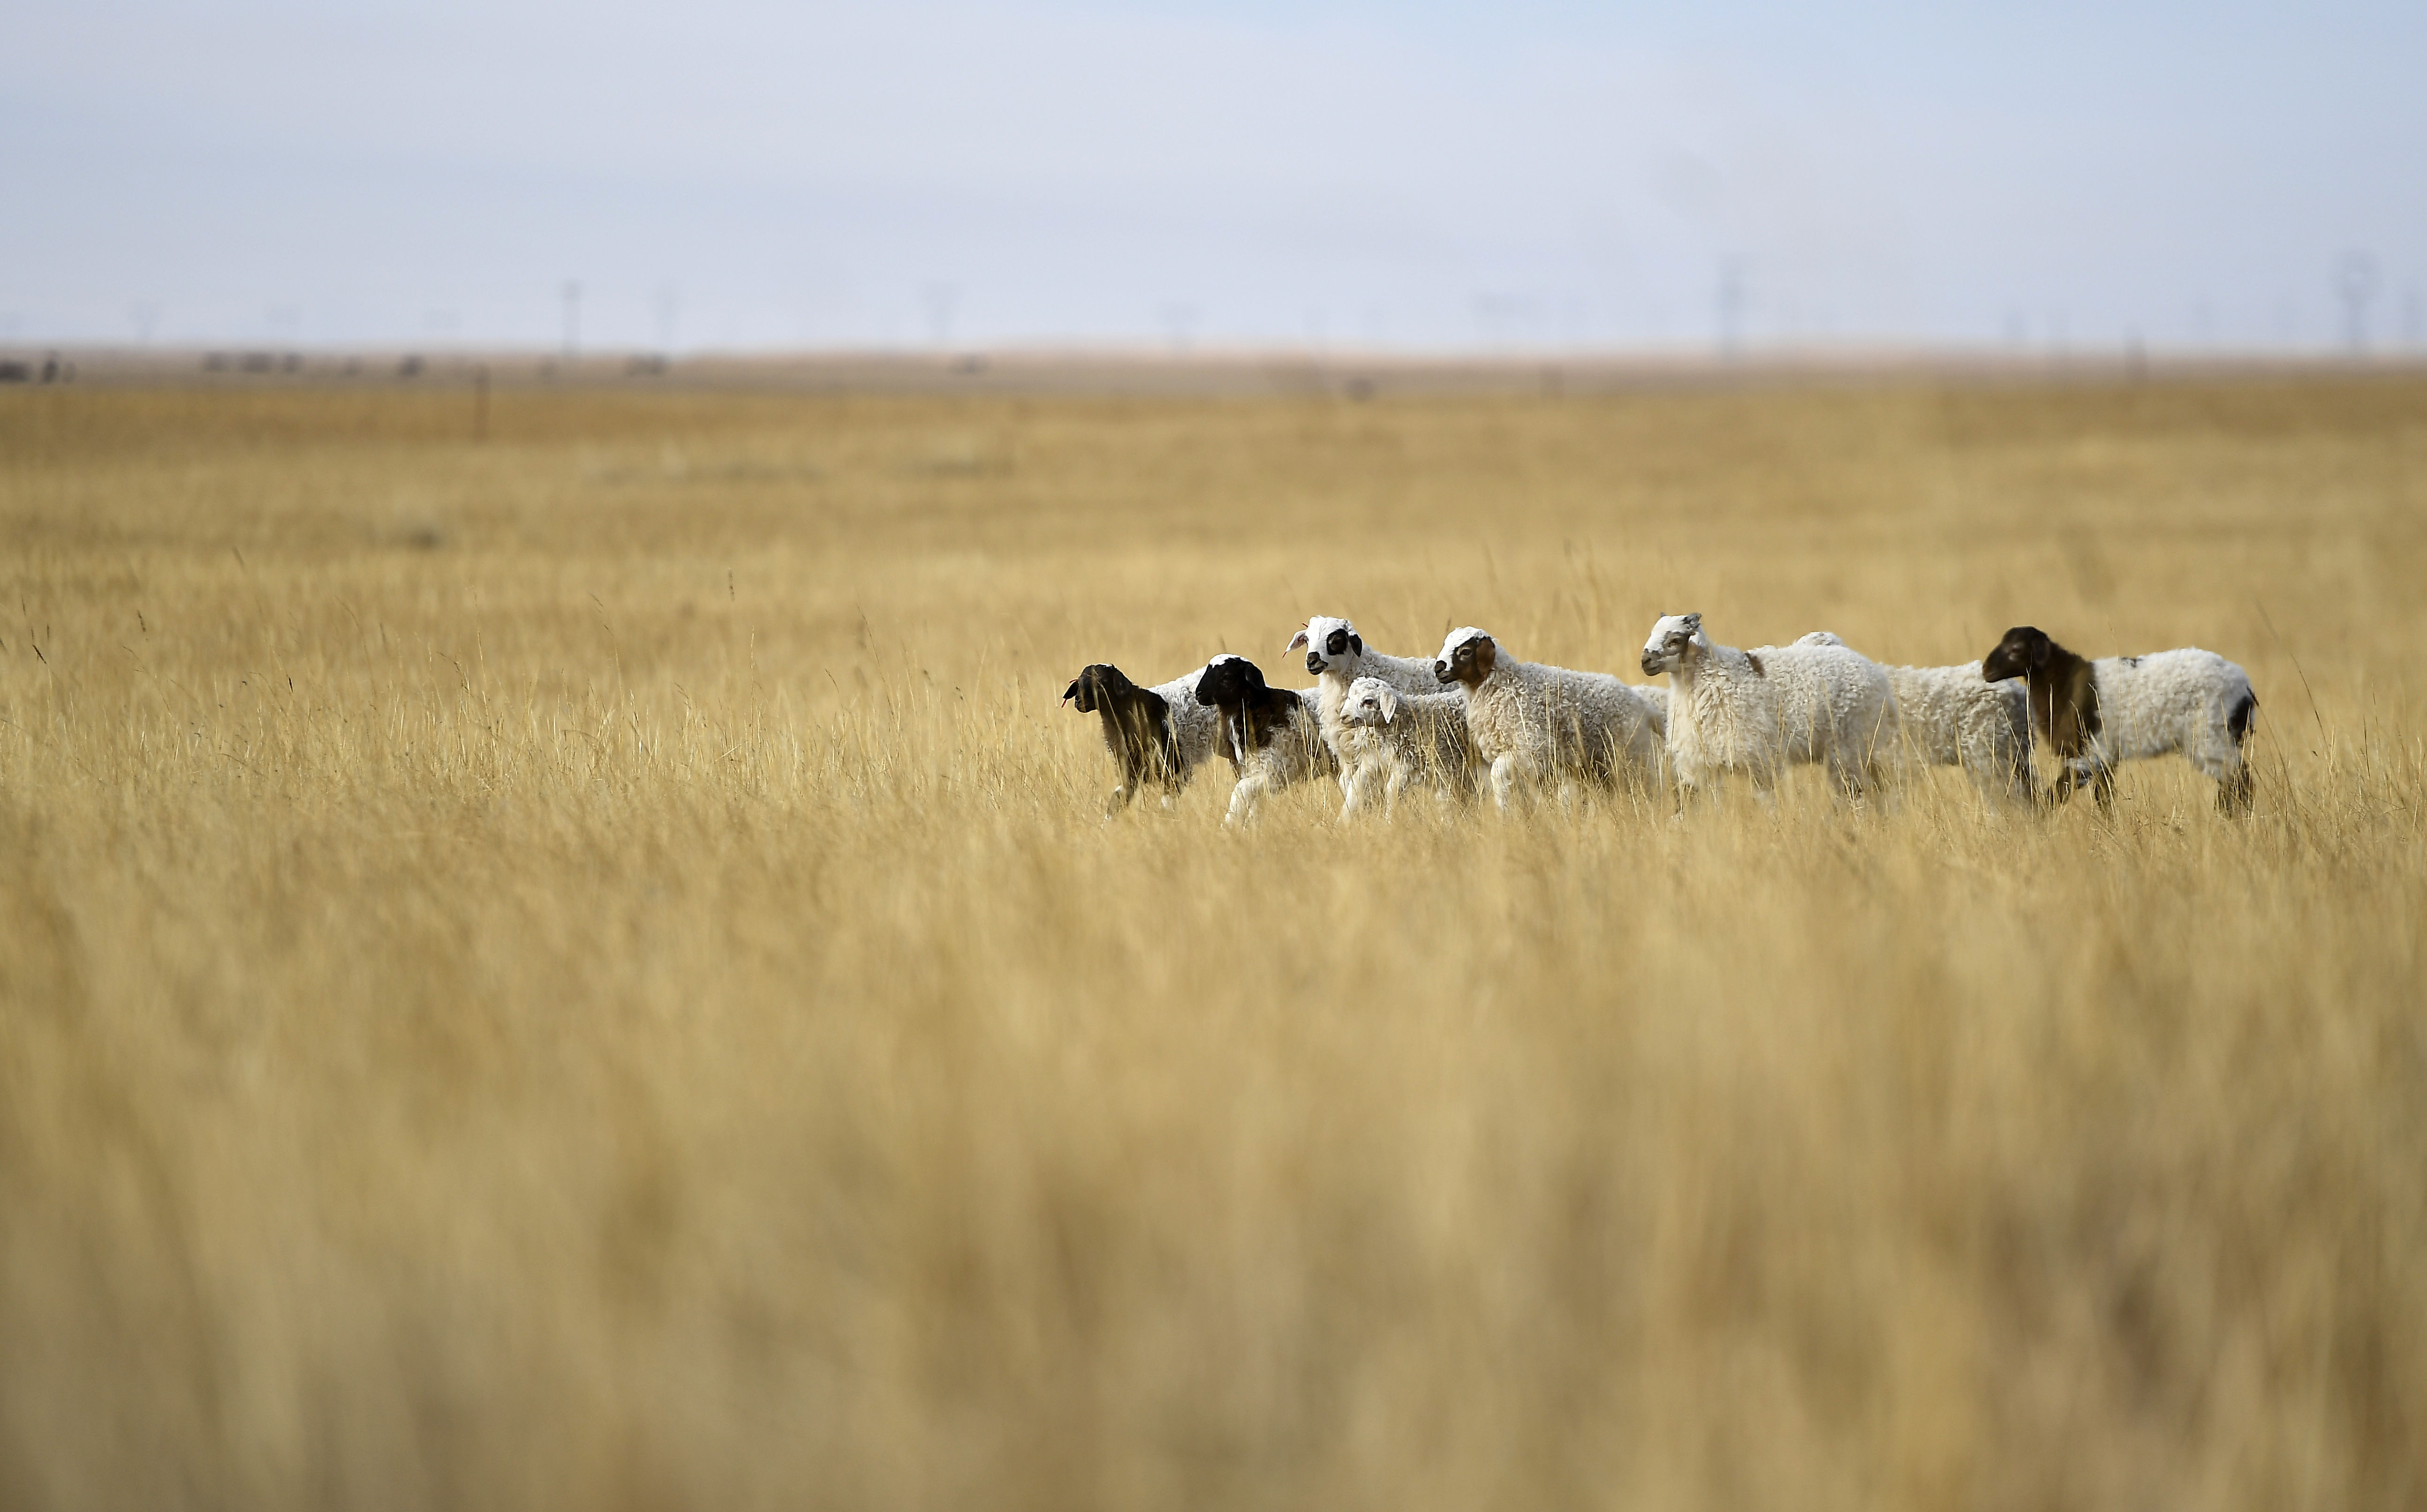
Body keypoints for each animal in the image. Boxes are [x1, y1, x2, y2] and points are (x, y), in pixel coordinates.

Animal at [1199, 655, 1349, 830]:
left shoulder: (1274, 773)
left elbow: (1241, 791)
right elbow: (1254, 807)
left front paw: (1229, 825)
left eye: (1227, 677)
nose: (1198, 693)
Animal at [1330, 674, 1475, 815]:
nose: (1344, 717)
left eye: (1368, 701)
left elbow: (1392, 790)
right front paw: (1343, 820)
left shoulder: (1411, 766)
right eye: (1350, 697)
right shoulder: (1373, 762)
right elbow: (1356, 786)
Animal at [1427, 626, 1660, 815]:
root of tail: (1642, 705)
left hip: (1632, 760)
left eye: (1466, 651)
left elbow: (1498, 774)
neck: (1506, 686)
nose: (1438, 669)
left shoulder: (1533, 749)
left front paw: (1504, 813)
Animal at [1641, 612, 1903, 810]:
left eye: (1675, 640)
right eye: (1652, 633)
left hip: (1850, 747)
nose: (1645, 661)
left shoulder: (1760, 761)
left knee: (1858, 791)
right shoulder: (1699, 764)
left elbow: (1766, 803)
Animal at [1990, 626, 2252, 815]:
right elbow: (2104, 800)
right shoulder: (2103, 760)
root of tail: (2245, 687)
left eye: (2016, 649)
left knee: (2240, 783)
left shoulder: (2090, 754)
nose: (1987, 671)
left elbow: (2057, 796)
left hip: (2213, 738)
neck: (2061, 682)